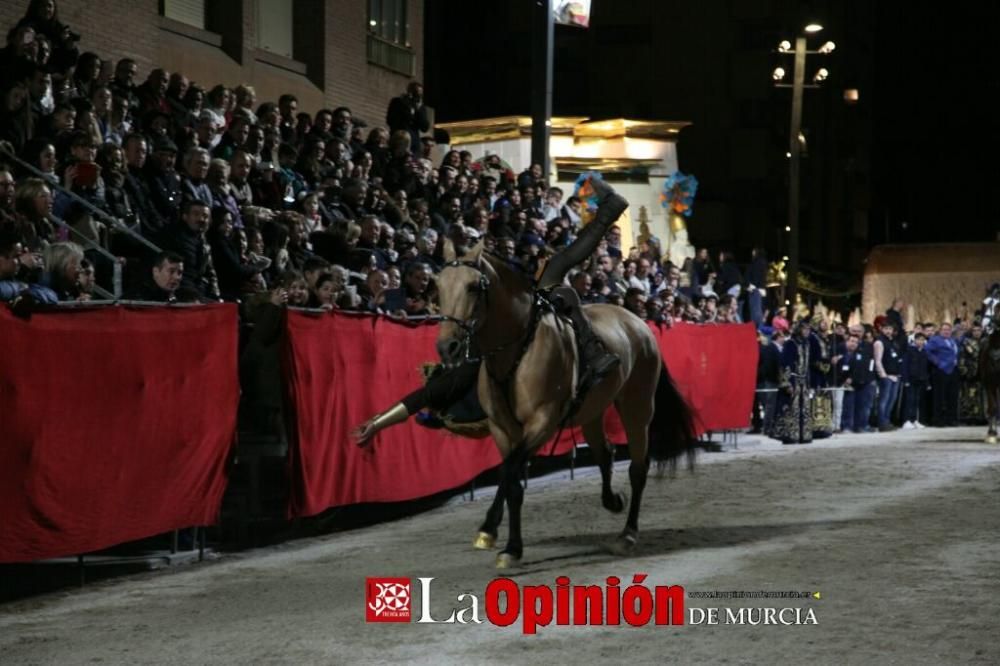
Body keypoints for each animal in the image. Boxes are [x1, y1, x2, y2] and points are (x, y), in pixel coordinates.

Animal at [438, 239, 696, 564]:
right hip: (592, 412)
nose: (447, 347)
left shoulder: (543, 421)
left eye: (473, 287)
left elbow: (509, 472)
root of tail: (639, 324)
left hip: (637, 407)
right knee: (605, 452)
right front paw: (504, 542)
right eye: (438, 286)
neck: (517, 350)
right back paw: (612, 500)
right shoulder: (501, 428)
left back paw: (627, 535)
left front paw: (497, 535)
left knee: (638, 467)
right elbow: (511, 480)